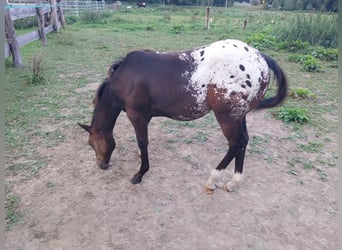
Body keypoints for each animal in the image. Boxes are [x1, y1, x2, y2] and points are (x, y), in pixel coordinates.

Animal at [79, 39, 288, 192]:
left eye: (90, 143)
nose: (101, 165)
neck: (124, 77)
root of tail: (259, 56)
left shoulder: (136, 114)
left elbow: (142, 141)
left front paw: (140, 173)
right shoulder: (146, 115)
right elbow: (142, 142)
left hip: (227, 117)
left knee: (235, 144)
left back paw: (212, 179)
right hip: (239, 116)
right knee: (243, 141)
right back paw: (233, 182)